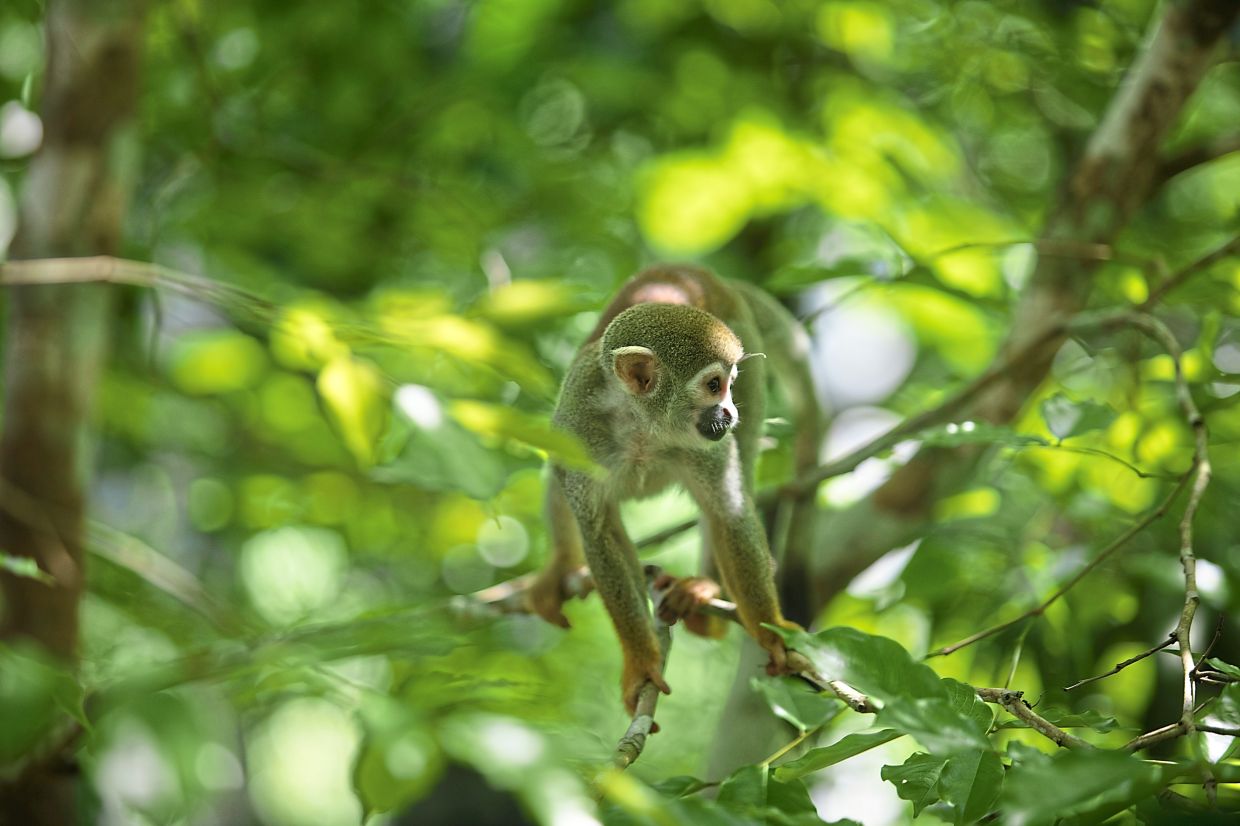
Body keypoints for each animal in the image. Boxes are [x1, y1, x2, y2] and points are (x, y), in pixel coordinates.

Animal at [526, 263, 822, 715]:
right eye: (714, 385)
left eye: (730, 384)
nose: (729, 411)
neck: (642, 425)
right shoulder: (578, 423)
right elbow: (599, 531)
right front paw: (640, 662)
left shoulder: (707, 441)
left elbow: (730, 512)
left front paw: (771, 631)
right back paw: (562, 564)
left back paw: (706, 592)